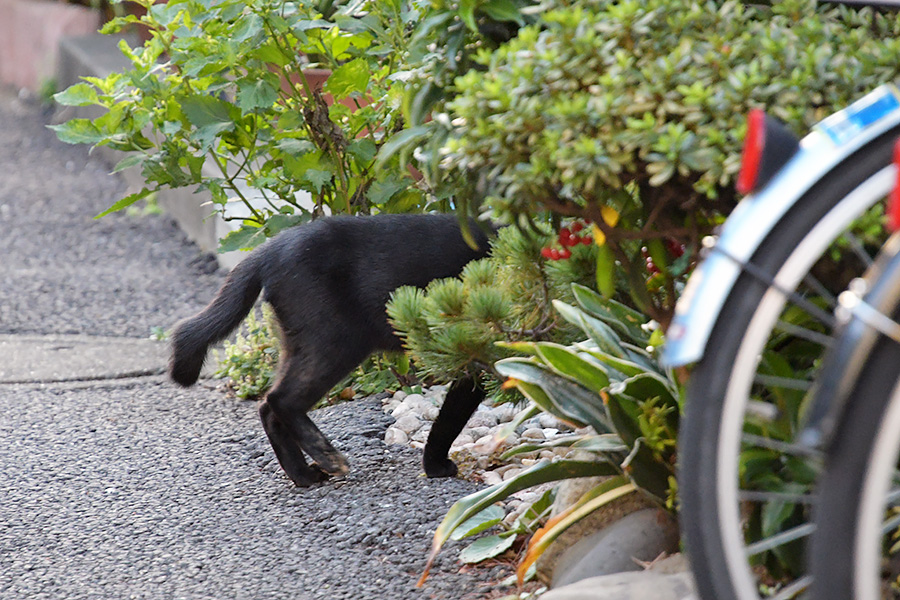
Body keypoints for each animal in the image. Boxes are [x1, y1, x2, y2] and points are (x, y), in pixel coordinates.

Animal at [169, 213, 492, 486]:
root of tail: (270, 249)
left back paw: (304, 476)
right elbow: (452, 416)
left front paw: (432, 466)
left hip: (303, 344)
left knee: (268, 407)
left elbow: (451, 413)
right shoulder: (476, 356)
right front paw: (436, 467)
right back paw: (329, 459)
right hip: (337, 341)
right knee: (280, 399)